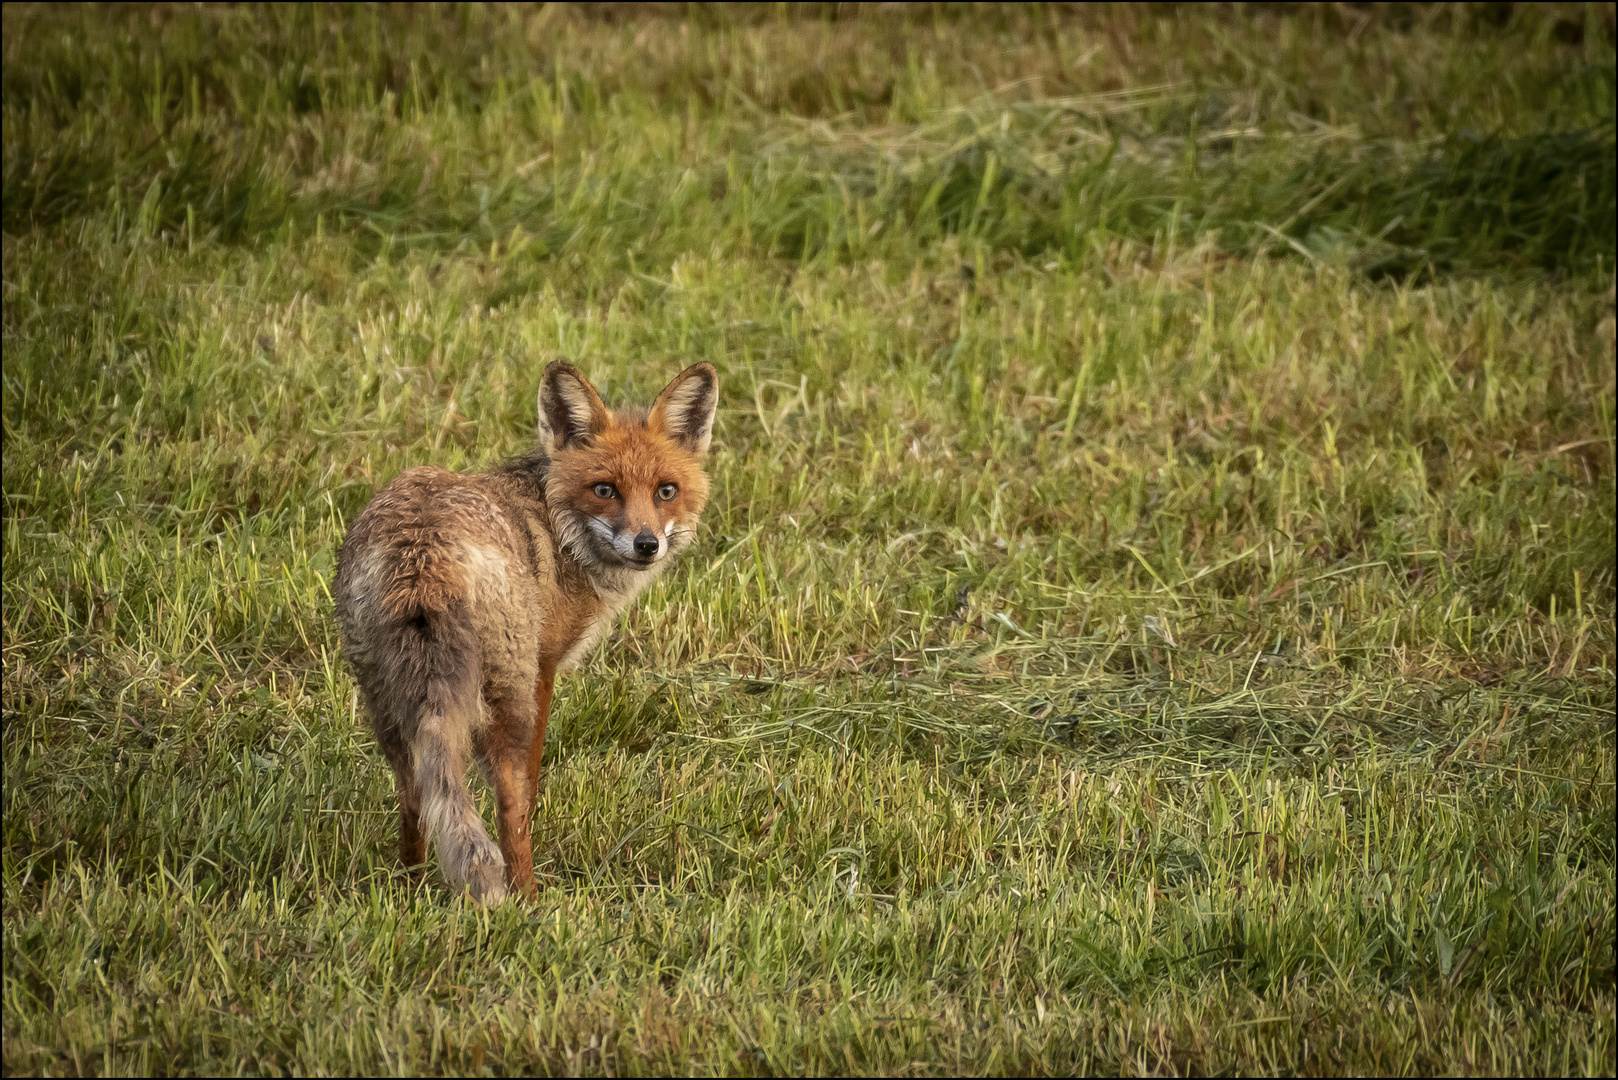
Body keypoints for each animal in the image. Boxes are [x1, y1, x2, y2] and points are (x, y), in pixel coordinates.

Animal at [331, 362, 718, 906]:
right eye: (605, 490)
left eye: (667, 490)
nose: (647, 545)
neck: (558, 529)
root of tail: (421, 547)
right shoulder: (544, 666)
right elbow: (530, 792)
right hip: (506, 698)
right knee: (507, 808)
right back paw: (527, 901)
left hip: (386, 701)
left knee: (415, 799)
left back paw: (410, 890)